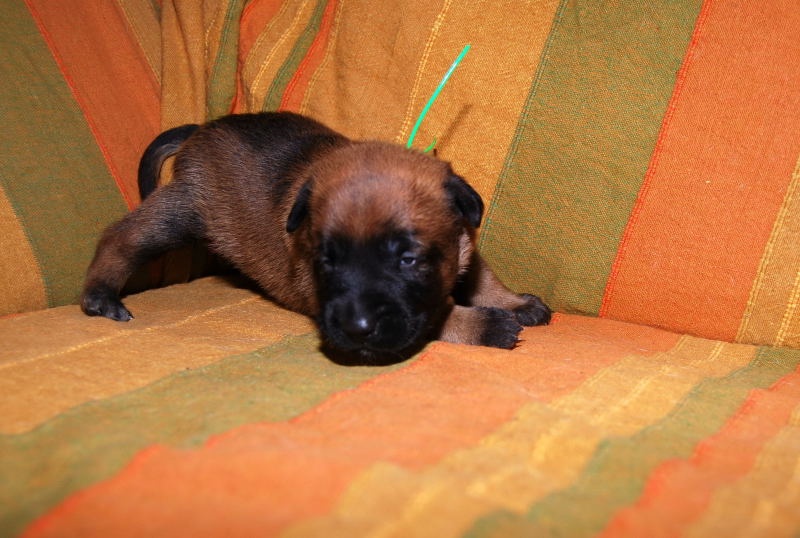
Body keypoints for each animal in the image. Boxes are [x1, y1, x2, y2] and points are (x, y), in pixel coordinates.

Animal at [81, 112, 551, 363]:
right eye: (326, 261)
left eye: (409, 260)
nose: (355, 329)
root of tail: (200, 128)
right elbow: (437, 315)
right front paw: (483, 324)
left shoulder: (464, 244)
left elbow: (483, 278)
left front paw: (512, 302)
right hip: (182, 211)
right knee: (122, 238)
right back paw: (101, 294)